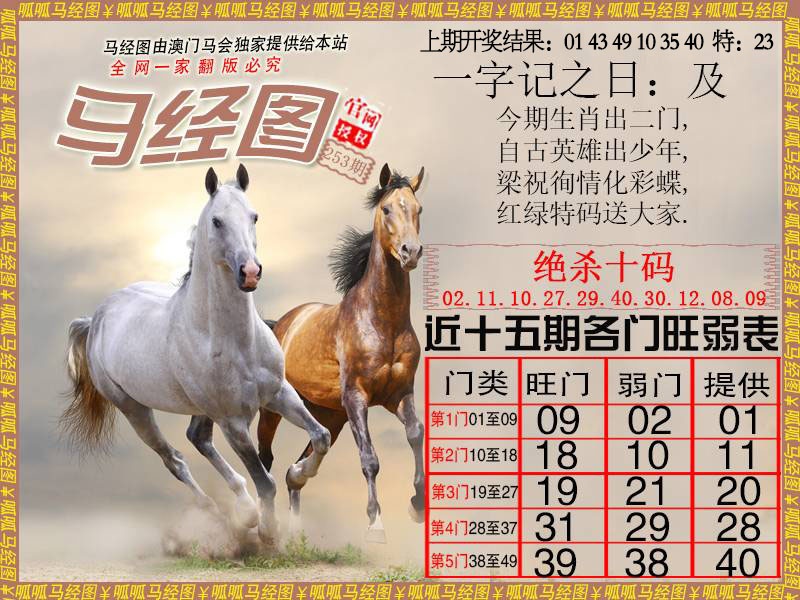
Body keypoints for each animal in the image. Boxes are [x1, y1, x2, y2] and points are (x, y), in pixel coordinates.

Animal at [63, 165, 331, 543]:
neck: (235, 341)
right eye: (217, 221)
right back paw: (225, 515)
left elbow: (320, 437)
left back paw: (243, 509)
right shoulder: (233, 422)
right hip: (134, 409)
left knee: (197, 438)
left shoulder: (278, 393)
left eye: (254, 216)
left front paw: (298, 474)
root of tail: (96, 317)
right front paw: (268, 531)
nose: (250, 272)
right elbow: (265, 480)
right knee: (174, 459)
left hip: (200, 409)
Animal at [256, 163, 425, 543]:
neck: (382, 321)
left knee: (298, 466)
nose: (410, 252)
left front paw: (417, 505)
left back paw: (297, 510)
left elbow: (415, 434)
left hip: (329, 414)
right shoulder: (357, 397)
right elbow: (370, 458)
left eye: (418, 209)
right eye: (386, 209)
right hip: (275, 409)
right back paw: (264, 524)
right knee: (265, 458)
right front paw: (376, 524)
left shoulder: (399, 395)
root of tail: (280, 324)